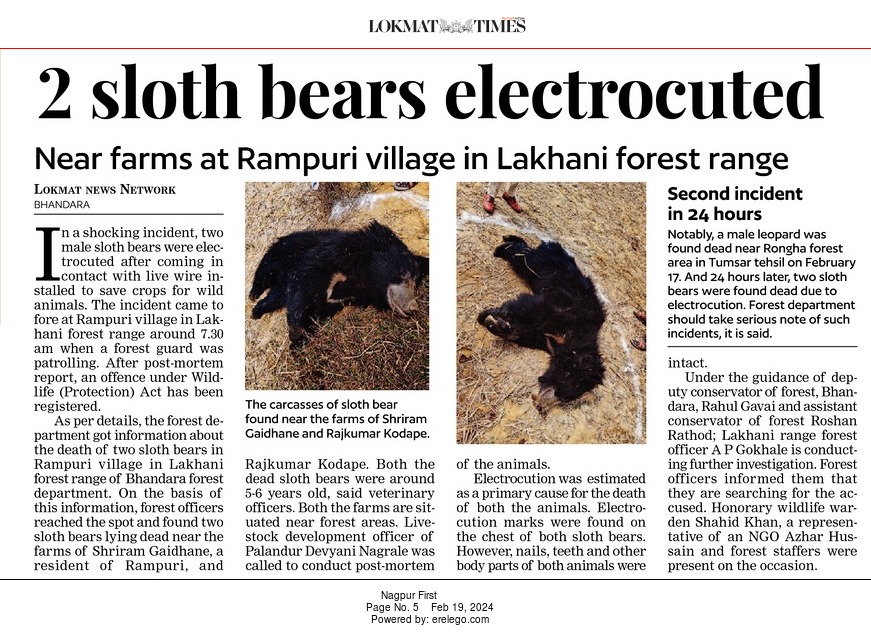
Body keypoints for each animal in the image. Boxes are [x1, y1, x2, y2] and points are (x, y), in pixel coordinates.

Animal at [250, 221, 428, 344]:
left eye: (415, 282)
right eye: (403, 274)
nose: (413, 308)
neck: (362, 277)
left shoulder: (344, 298)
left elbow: (320, 311)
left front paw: (305, 336)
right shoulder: (321, 263)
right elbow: (301, 294)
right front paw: (296, 338)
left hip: (281, 283)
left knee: (274, 298)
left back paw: (256, 311)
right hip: (284, 252)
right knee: (265, 270)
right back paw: (253, 295)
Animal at [477, 235, 605, 413]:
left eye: (566, 398)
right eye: (567, 376)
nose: (540, 406)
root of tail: (553, 246)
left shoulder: (548, 340)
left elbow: (527, 334)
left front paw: (500, 326)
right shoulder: (561, 307)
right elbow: (528, 307)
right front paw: (486, 316)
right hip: (539, 262)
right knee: (521, 253)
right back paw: (502, 247)